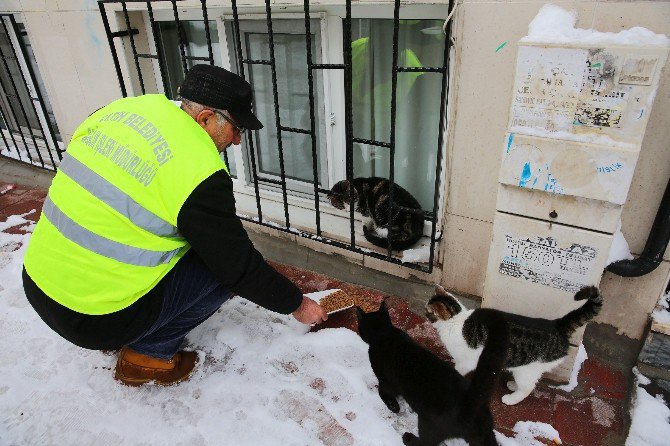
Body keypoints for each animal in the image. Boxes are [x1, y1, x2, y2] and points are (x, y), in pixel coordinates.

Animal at [356, 302, 510, 444]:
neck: (385, 333)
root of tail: (470, 404)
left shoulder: (385, 381)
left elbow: (384, 393)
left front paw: (393, 407)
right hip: (485, 434)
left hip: (427, 424)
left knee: (426, 442)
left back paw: (408, 438)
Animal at [428, 286, 608, 404]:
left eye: (427, 311)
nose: (424, 311)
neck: (457, 320)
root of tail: (558, 325)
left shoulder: (466, 362)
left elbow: (458, 369)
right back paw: (513, 385)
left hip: (527, 369)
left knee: (528, 388)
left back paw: (511, 398)